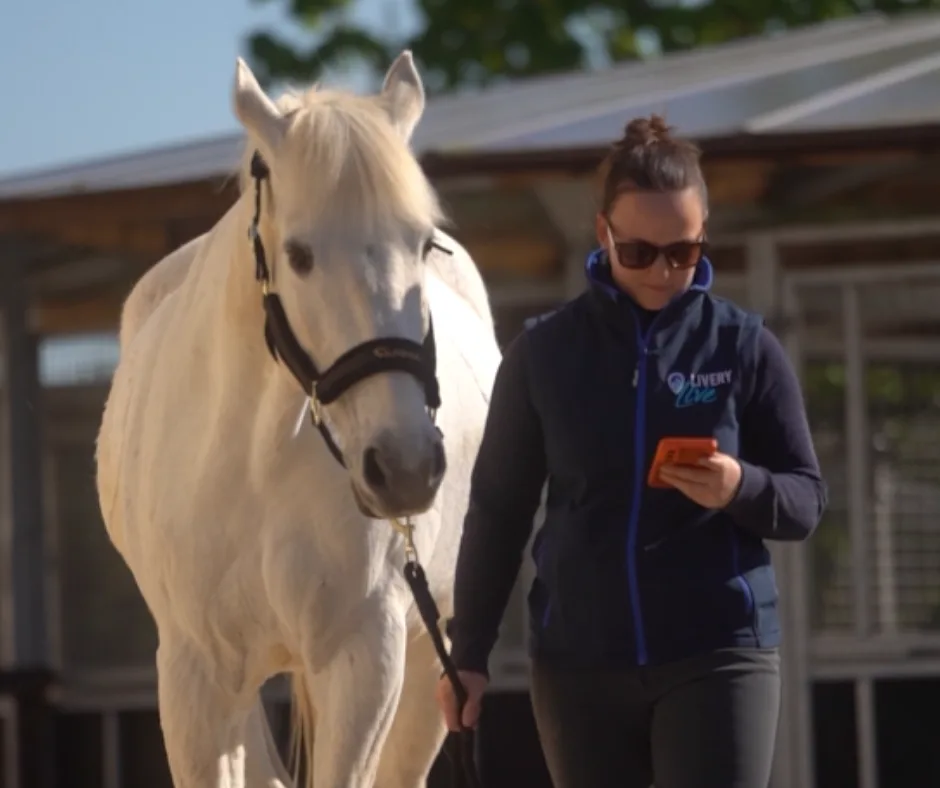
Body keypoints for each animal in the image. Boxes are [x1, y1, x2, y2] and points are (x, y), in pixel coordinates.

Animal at [95, 50, 502, 788]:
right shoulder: (196, 677)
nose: (405, 467)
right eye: (300, 255)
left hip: (431, 659)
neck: (256, 465)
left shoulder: (365, 657)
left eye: (424, 246)